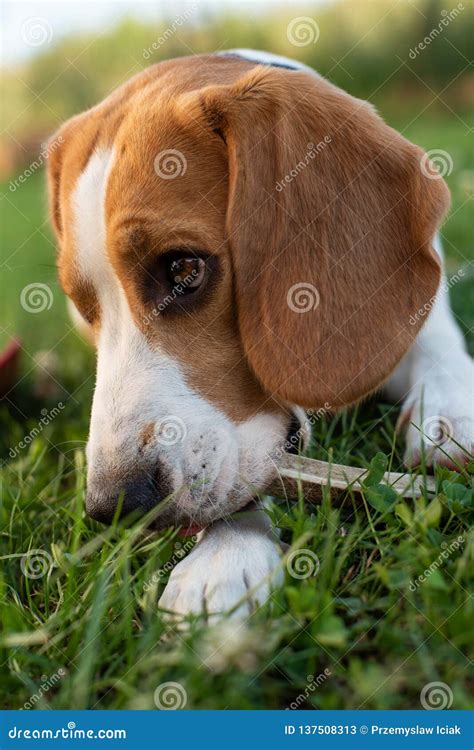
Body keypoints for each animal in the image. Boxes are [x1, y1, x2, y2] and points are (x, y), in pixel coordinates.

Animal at [46, 50, 472, 620]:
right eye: (83, 305)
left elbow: (438, 345)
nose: (115, 507)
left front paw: (452, 411)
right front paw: (227, 551)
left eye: (185, 269)